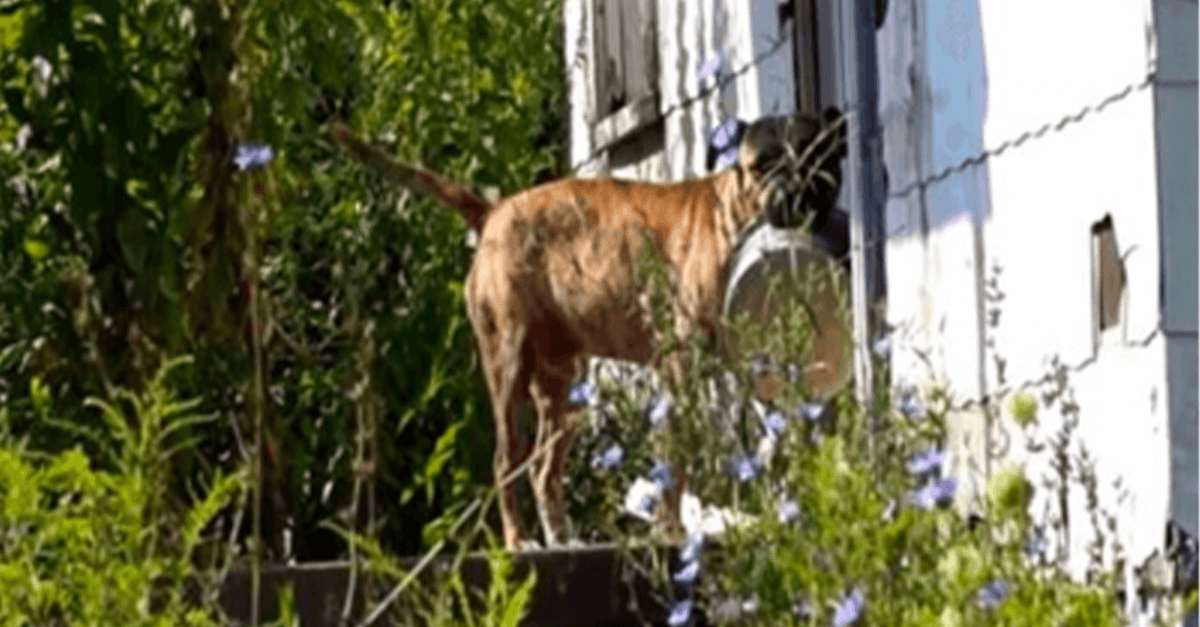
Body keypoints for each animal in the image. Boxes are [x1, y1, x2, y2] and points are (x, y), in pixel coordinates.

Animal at [328, 106, 849, 547]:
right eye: (762, 166)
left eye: (819, 155)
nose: (797, 192)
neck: (733, 216)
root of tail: (493, 214)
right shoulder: (678, 369)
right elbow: (675, 459)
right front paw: (671, 530)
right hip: (507, 370)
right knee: (506, 462)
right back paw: (519, 540)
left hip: (562, 388)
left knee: (543, 469)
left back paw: (560, 537)